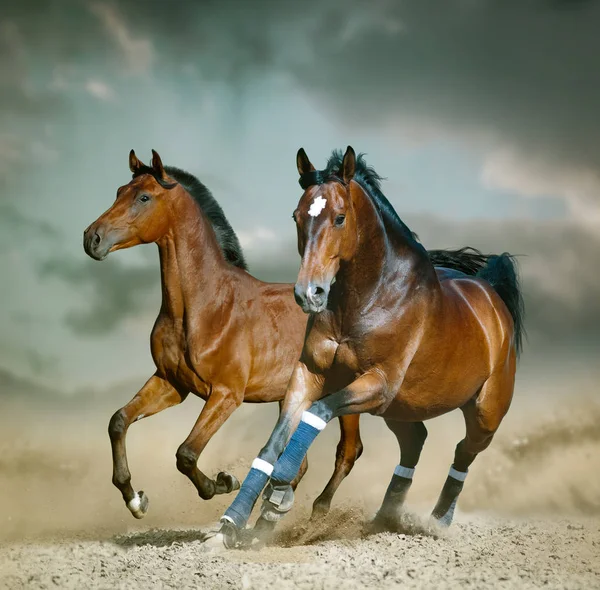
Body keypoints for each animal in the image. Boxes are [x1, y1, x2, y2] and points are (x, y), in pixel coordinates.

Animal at [82, 149, 366, 524]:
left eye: (143, 197)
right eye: (118, 191)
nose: (92, 239)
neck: (206, 307)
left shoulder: (226, 395)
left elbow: (186, 453)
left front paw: (223, 482)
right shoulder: (172, 384)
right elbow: (118, 421)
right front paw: (135, 500)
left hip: (345, 398)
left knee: (347, 451)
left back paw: (315, 513)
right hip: (290, 399)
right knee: (298, 464)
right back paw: (265, 517)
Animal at [217, 146, 524, 548]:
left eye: (339, 218)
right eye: (297, 216)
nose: (308, 293)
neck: (368, 298)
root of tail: (490, 295)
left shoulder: (378, 383)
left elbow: (319, 412)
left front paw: (279, 493)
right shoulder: (309, 373)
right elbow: (275, 440)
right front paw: (234, 521)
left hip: (485, 412)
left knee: (463, 453)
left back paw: (437, 521)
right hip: (402, 409)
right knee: (415, 442)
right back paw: (384, 518)